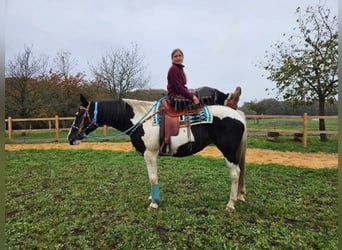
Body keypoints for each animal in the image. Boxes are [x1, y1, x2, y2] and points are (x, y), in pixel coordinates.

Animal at [68, 91, 247, 212]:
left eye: (79, 114)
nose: (70, 138)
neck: (140, 119)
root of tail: (237, 114)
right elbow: (150, 178)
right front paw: (152, 197)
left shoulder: (150, 154)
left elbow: (153, 178)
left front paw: (154, 203)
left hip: (228, 152)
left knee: (235, 174)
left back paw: (230, 204)